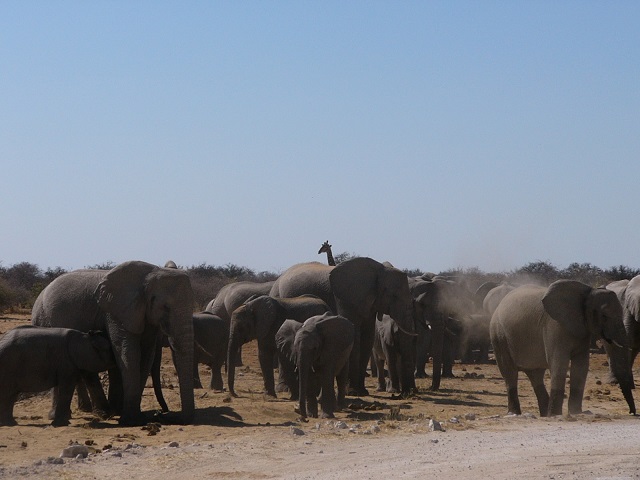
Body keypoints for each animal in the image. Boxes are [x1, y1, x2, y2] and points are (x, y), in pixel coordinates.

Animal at [31, 260, 195, 426]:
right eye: (165, 307)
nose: (163, 414)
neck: (152, 271)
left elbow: (145, 354)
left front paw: (129, 414)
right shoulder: (115, 311)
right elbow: (127, 352)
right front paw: (131, 420)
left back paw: (91, 410)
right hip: (43, 320)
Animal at [266, 256, 412, 396]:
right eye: (394, 296)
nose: (405, 393)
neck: (379, 269)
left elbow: (367, 337)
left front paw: (362, 392)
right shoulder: (345, 299)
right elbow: (354, 334)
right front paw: (353, 392)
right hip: (278, 296)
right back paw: (284, 389)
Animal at [490, 282, 636, 416]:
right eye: (604, 316)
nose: (632, 413)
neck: (586, 292)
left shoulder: (582, 330)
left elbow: (581, 366)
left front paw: (576, 413)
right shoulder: (554, 326)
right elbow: (559, 363)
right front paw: (556, 415)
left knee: (536, 375)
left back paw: (544, 414)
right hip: (499, 336)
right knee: (509, 373)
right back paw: (515, 413)